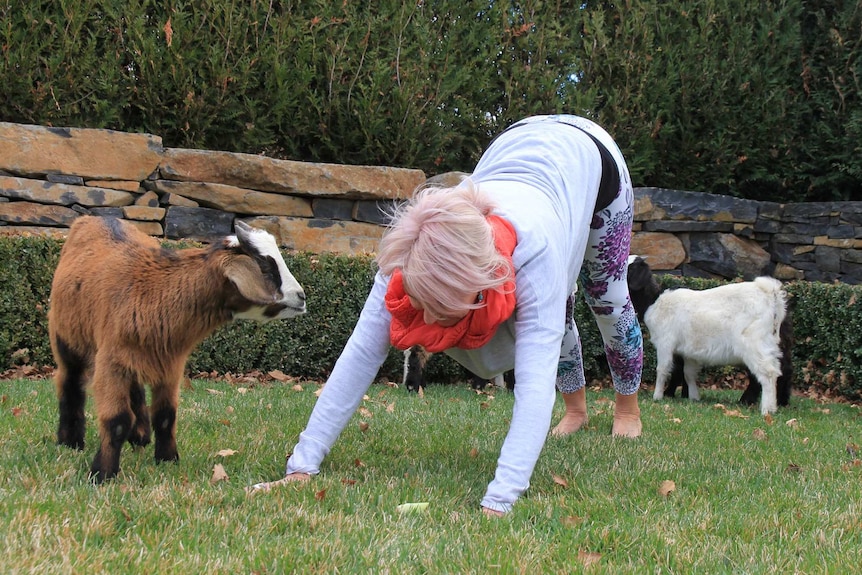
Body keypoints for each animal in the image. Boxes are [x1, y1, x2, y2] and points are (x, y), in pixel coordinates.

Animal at [49, 216, 308, 482]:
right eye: (266, 266)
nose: (301, 297)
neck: (152, 291)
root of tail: (93, 218)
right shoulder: (111, 362)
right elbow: (117, 420)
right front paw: (102, 473)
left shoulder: (169, 363)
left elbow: (165, 415)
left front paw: (167, 460)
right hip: (65, 335)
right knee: (70, 381)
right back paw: (70, 441)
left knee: (135, 388)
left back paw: (140, 436)